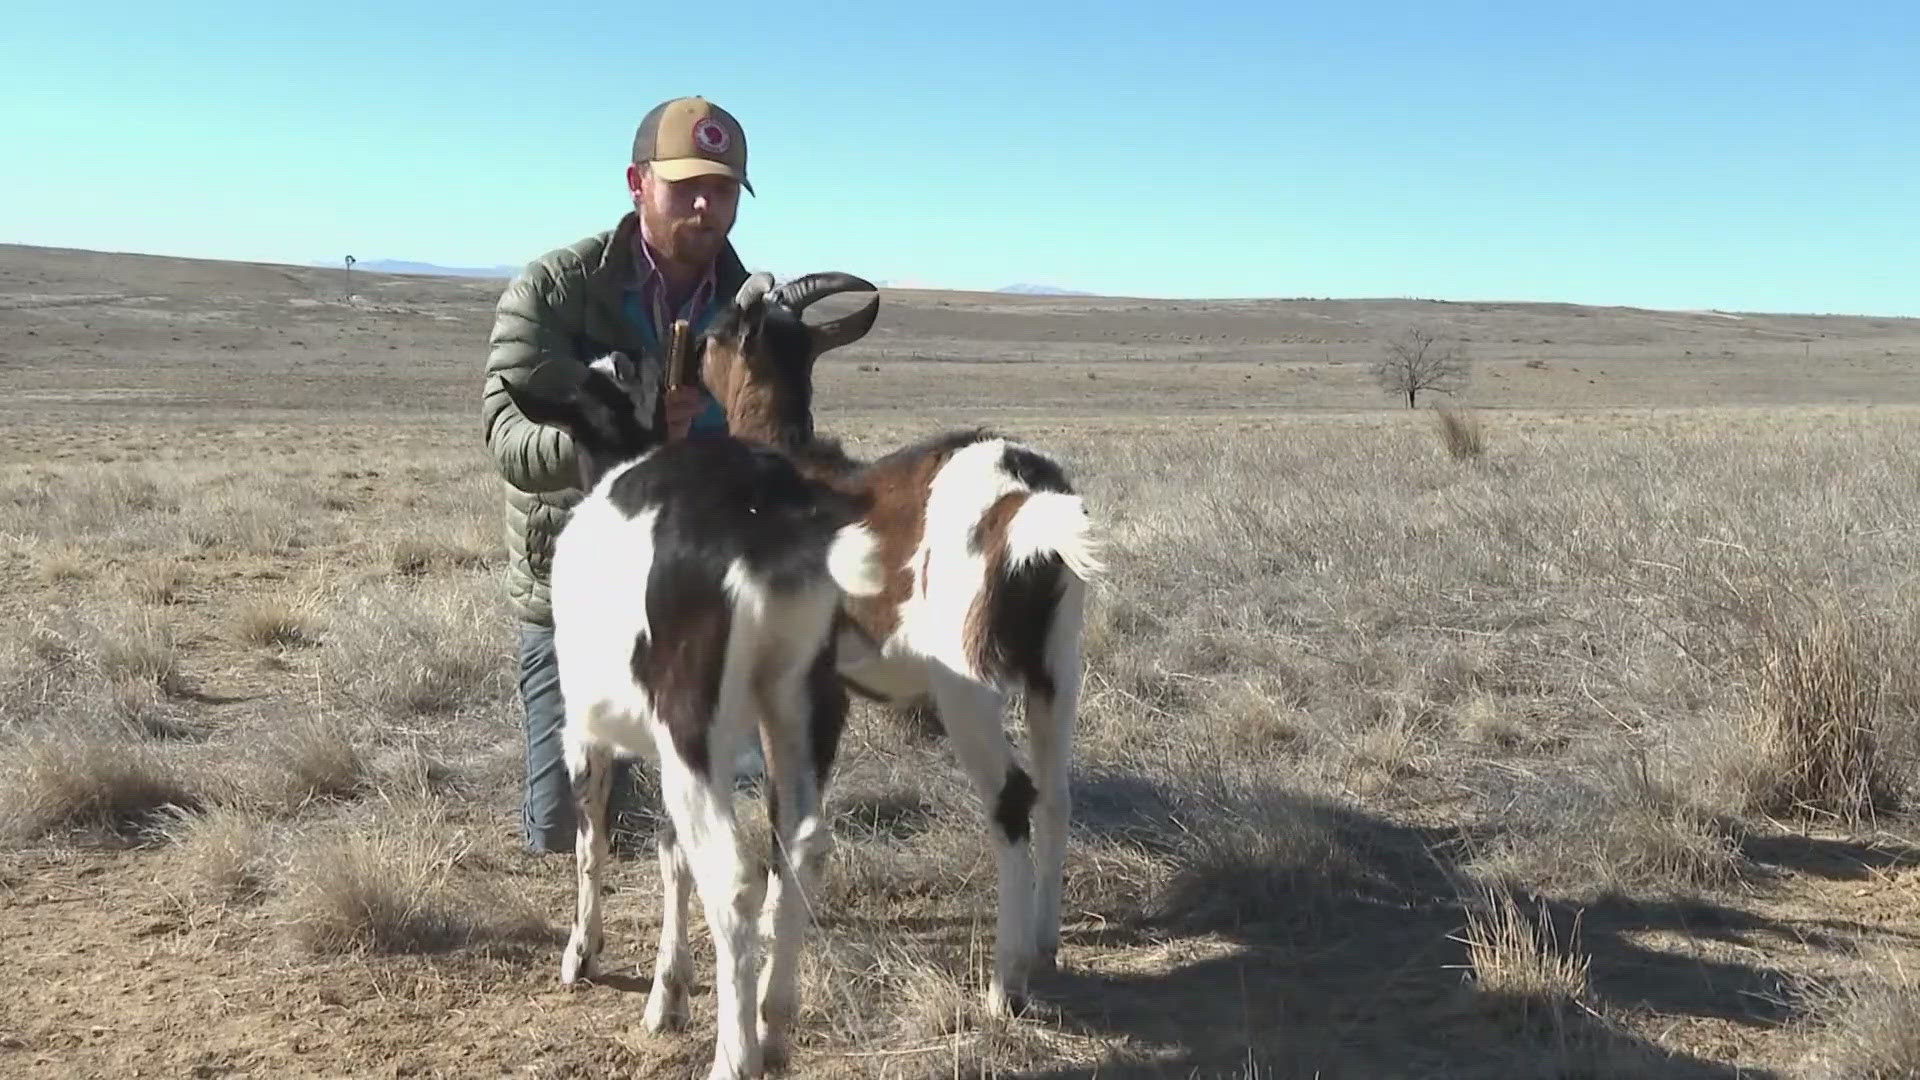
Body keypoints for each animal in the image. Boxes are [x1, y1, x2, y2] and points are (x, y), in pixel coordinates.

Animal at [499, 353, 879, 1076]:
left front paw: (582, 953)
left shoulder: (588, 735)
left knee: (733, 879)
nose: (622, 357)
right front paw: (667, 992)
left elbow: (593, 839)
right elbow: (671, 852)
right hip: (799, 706)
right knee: (801, 846)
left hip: (694, 726)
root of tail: (765, 517)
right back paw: (775, 1024)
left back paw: (736, 1054)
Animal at [698, 269, 1105, 1014]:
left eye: (717, 332)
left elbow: (783, 809)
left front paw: (772, 926)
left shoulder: (794, 688)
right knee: (1057, 793)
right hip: (1057, 670)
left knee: (1012, 798)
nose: (686, 350)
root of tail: (1026, 498)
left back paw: (1004, 986)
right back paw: (1044, 948)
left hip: (966, 685)